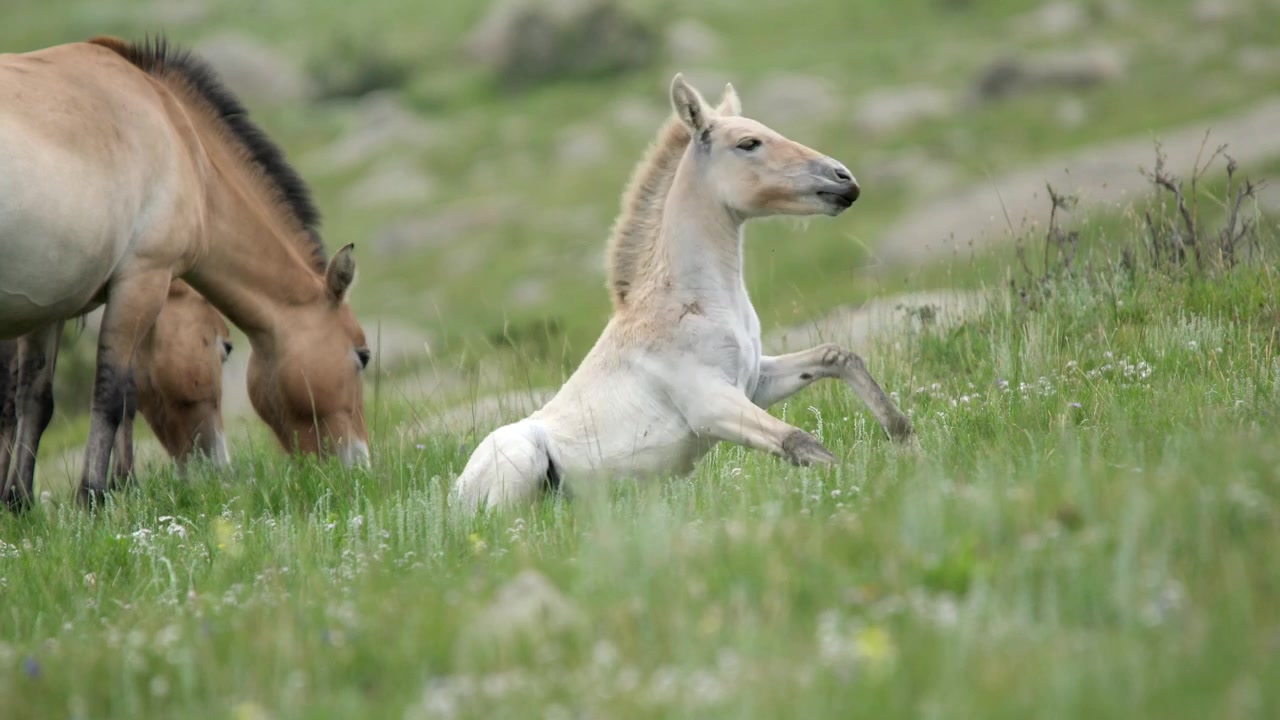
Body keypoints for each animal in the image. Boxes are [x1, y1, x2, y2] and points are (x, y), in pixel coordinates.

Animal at [451, 74, 916, 514]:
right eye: (748, 143)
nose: (844, 180)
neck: (694, 303)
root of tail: (456, 495)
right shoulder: (711, 406)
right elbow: (800, 442)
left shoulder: (756, 382)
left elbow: (836, 356)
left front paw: (904, 435)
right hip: (520, 459)